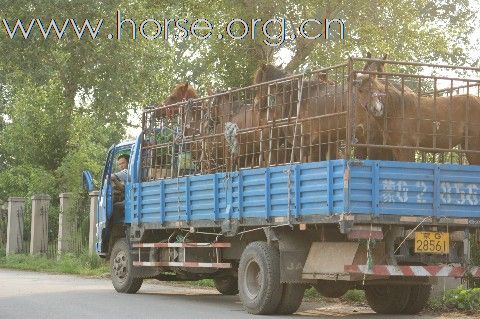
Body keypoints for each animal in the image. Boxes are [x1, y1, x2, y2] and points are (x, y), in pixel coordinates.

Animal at [352, 66, 480, 164]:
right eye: (360, 91)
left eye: (377, 88)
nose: (377, 108)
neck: (398, 110)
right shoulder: (396, 148)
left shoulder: (407, 148)